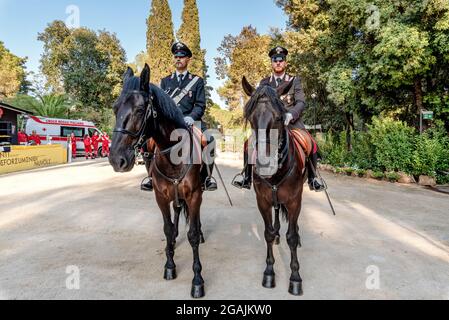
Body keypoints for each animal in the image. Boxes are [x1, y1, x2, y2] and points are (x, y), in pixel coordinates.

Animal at [108, 63, 206, 298]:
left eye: (140, 109)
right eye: (115, 108)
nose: (116, 159)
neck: (173, 155)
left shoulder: (194, 195)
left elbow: (193, 235)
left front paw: (197, 280)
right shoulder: (160, 197)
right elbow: (167, 229)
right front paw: (169, 265)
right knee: (177, 211)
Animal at [242, 76, 308, 296]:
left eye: (279, 118)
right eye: (250, 118)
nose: (264, 165)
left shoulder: (295, 200)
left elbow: (292, 237)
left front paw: (295, 278)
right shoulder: (262, 200)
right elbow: (268, 233)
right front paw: (269, 272)